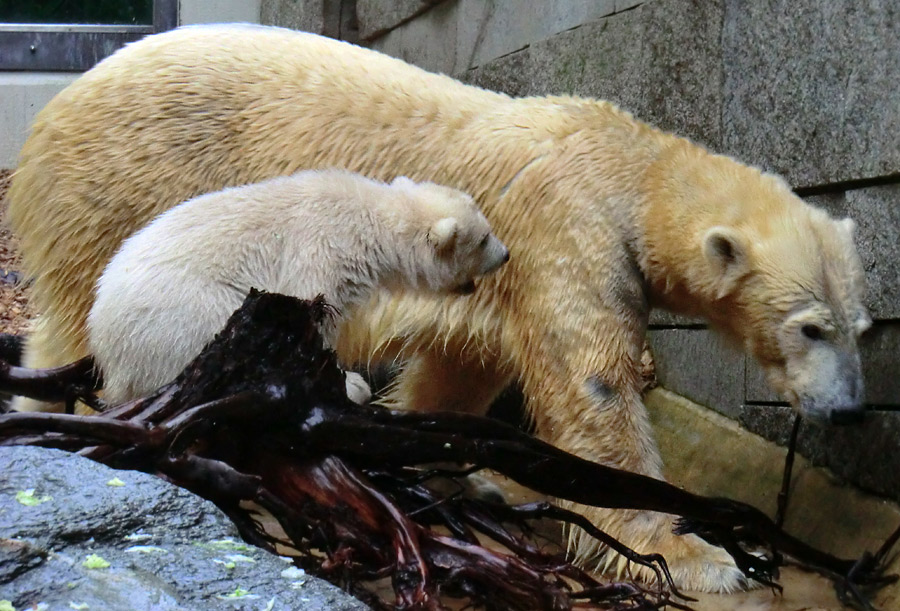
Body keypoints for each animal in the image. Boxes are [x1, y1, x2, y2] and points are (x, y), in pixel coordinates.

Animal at [3, 25, 868, 592]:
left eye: (858, 326)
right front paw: (702, 555)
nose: (852, 409)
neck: (629, 167)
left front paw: (449, 463)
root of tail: (58, 104)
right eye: (809, 327)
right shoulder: (572, 233)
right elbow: (594, 391)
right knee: (81, 310)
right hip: (121, 184)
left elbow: (461, 368)